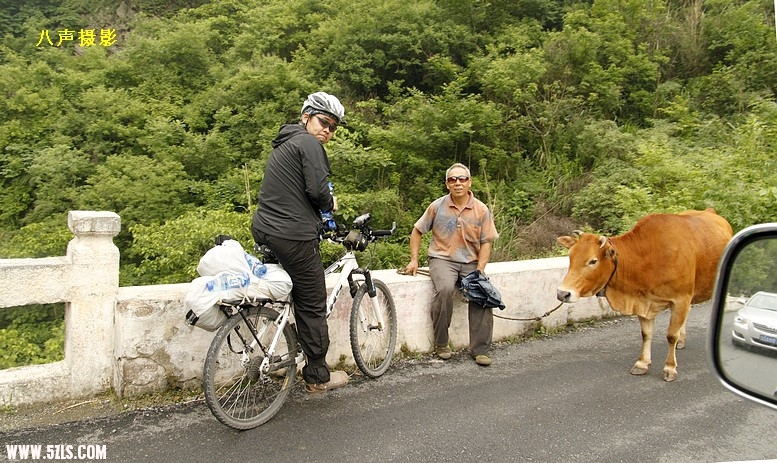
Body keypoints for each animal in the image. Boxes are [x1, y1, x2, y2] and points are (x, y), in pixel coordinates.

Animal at [556, 209, 732, 380]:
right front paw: (642, 363)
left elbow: (670, 335)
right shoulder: (643, 301)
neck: (648, 257)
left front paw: (670, 368)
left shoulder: (680, 299)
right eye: (570, 256)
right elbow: (646, 334)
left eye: (593, 261)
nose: (562, 293)